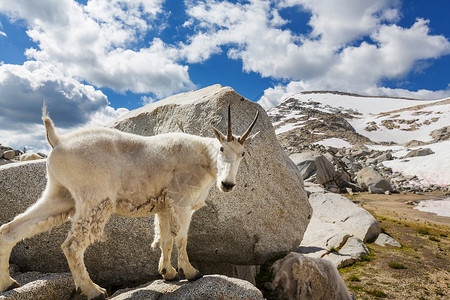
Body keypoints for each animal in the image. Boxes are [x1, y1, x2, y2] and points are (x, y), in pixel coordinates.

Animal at [0, 104, 258, 298]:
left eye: (243, 153)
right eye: (222, 148)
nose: (227, 184)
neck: (203, 157)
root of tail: (57, 141)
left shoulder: (165, 206)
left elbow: (165, 239)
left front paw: (168, 273)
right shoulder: (182, 203)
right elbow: (182, 238)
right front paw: (192, 272)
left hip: (59, 195)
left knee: (12, 229)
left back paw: (9, 282)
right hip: (94, 199)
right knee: (72, 245)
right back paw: (94, 290)